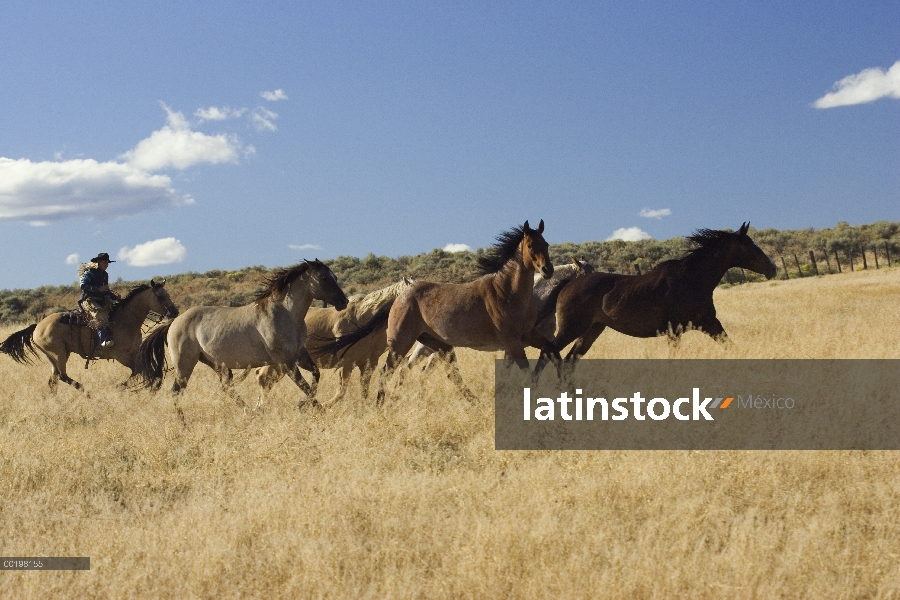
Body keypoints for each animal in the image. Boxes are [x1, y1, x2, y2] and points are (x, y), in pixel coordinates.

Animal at [0, 278, 178, 392]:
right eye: (160, 296)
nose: (175, 312)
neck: (125, 320)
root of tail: (37, 326)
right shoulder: (121, 355)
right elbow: (138, 370)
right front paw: (122, 387)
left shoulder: (134, 352)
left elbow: (144, 369)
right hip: (58, 353)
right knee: (62, 376)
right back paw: (86, 391)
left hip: (56, 355)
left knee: (54, 380)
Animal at [136, 258, 348, 408]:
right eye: (324, 278)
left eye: (335, 277)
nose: (344, 301)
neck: (284, 313)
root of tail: (174, 322)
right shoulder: (286, 361)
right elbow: (304, 385)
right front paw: (308, 406)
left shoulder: (299, 354)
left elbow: (315, 376)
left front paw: (307, 404)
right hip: (185, 365)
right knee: (176, 392)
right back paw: (184, 426)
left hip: (216, 364)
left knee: (226, 387)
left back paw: (249, 411)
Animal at [255, 276, 416, 404]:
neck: (363, 318)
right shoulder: (347, 363)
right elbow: (341, 392)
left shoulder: (368, 363)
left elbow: (364, 391)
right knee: (263, 379)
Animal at [536, 223, 776, 368]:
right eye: (751, 247)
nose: (772, 268)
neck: (691, 279)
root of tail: (569, 284)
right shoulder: (679, 329)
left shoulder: (708, 324)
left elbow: (732, 346)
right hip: (571, 329)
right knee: (547, 355)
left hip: (591, 330)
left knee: (569, 360)